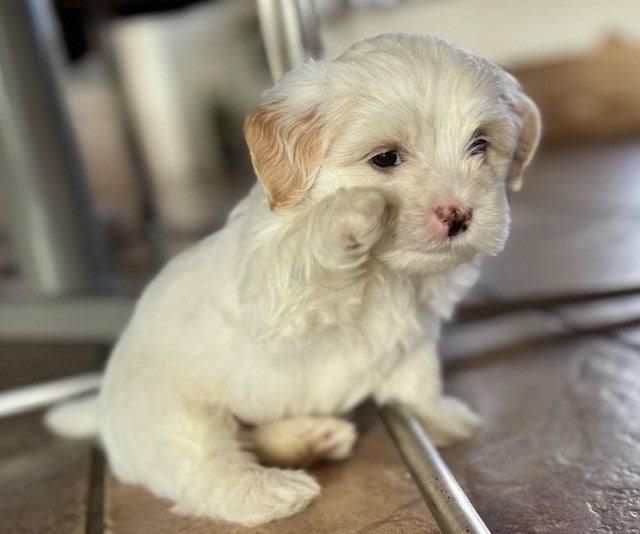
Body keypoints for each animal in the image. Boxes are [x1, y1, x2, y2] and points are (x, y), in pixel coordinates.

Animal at [46, 34, 540, 528]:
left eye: (479, 145)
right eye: (385, 158)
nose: (458, 215)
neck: (390, 273)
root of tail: (104, 409)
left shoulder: (415, 335)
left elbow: (417, 383)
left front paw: (437, 420)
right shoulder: (272, 291)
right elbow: (305, 250)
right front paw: (352, 212)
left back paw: (311, 437)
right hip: (170, 416)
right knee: (208, 469)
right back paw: (267, 491)